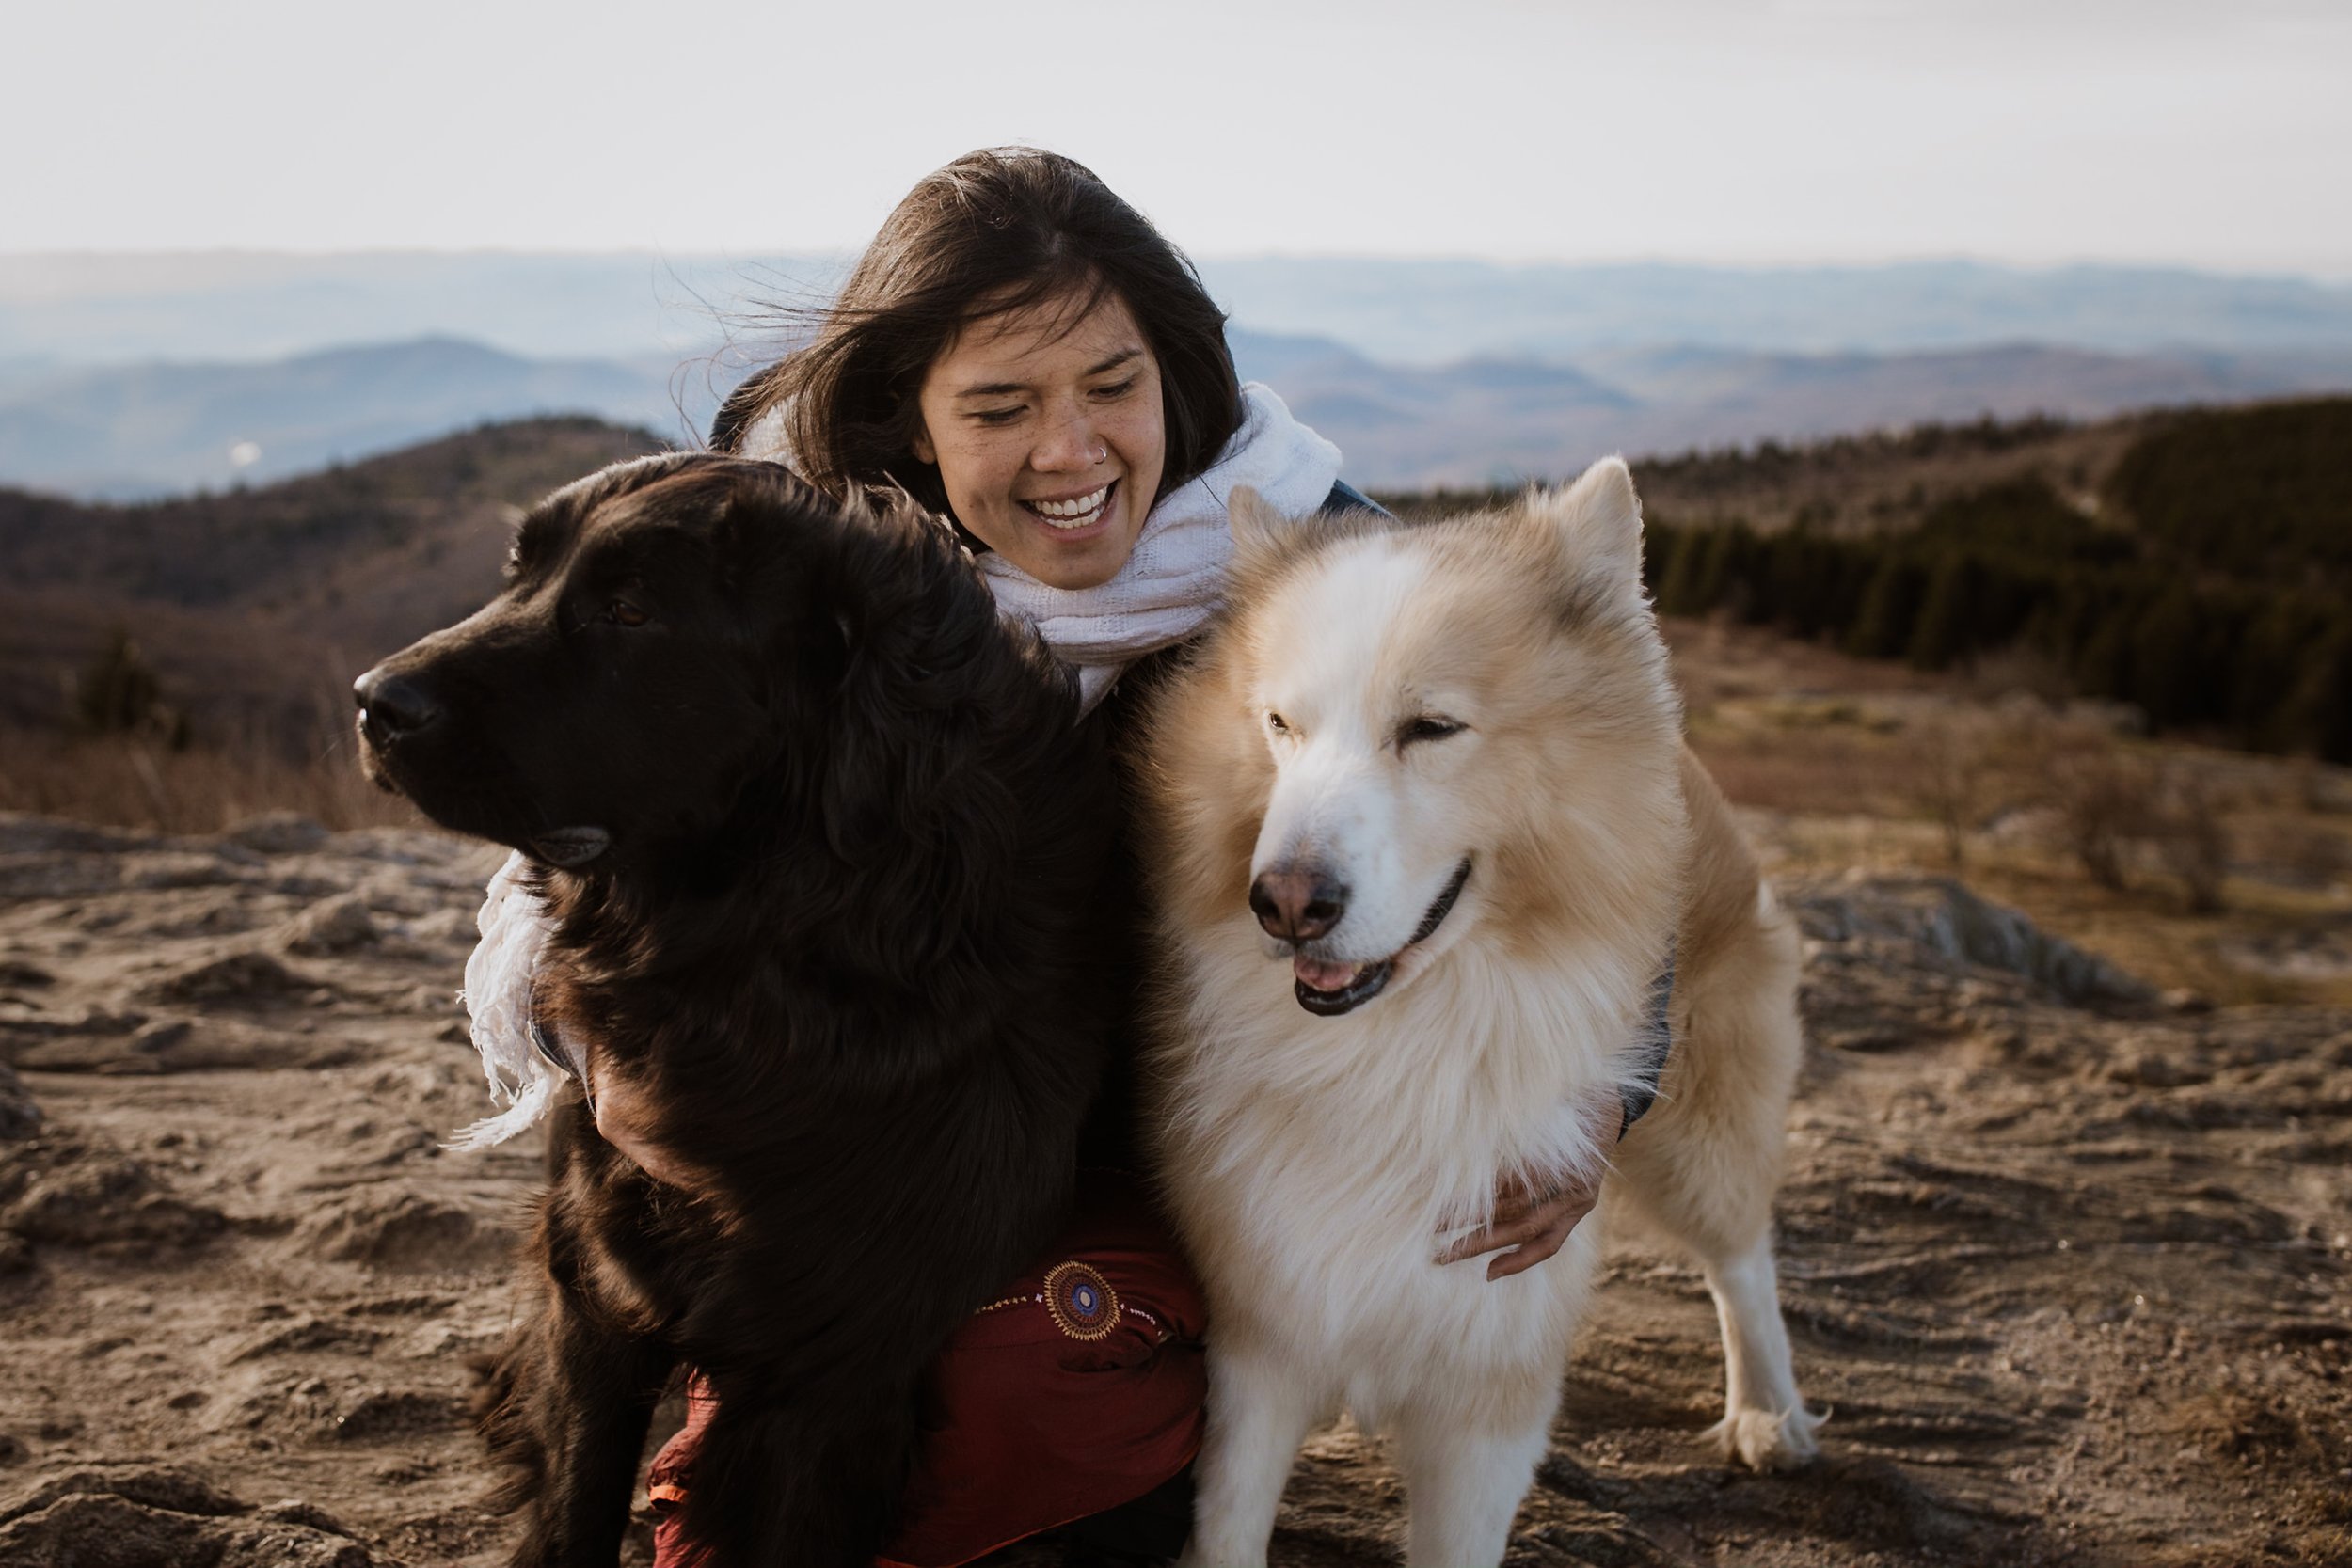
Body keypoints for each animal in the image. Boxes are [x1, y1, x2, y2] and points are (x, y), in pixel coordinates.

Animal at [353, 455, 1115, 1568]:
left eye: (629, 611)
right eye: (517, 572)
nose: (372, 701)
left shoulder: (832, 1354)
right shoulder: (595, 1278)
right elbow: (575, 1497)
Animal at [1134, 463, 1816, 1568]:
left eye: (1431, 728)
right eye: (1280, 725)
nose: (1283, 903)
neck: (1407, 1047)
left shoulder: (1489, 1390)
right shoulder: (1261, 1341)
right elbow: (1230, 1525)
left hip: (1698, 1128)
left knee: (1742, 1257)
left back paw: (1769, 1411)